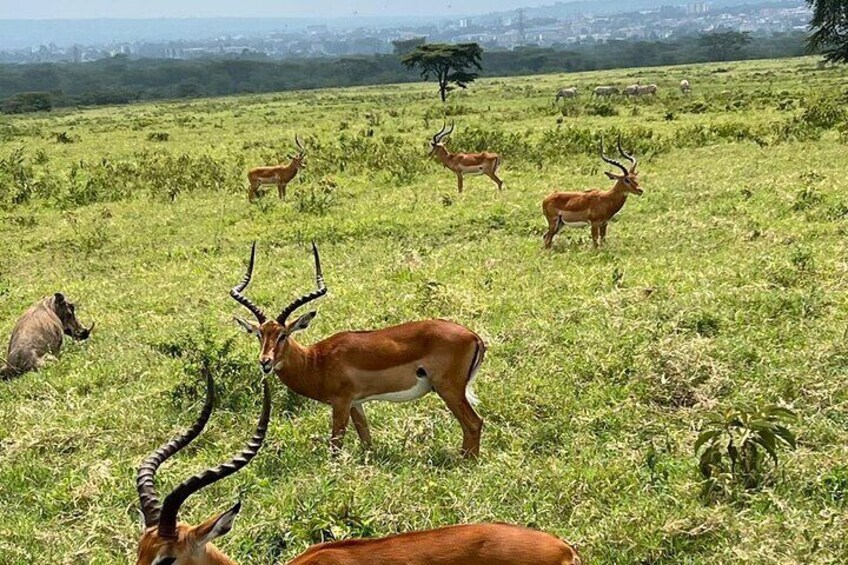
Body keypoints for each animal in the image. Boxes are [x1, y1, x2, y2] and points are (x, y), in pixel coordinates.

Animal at [232, 240, 486, 456]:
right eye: (259, 334)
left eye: (283, 335)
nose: (265, 361)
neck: (317, 360)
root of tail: (474, 336)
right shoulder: (357, 403)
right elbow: (367, 441)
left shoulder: (341, 403)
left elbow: (335, 446)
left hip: (448, 389)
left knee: (474, 424)